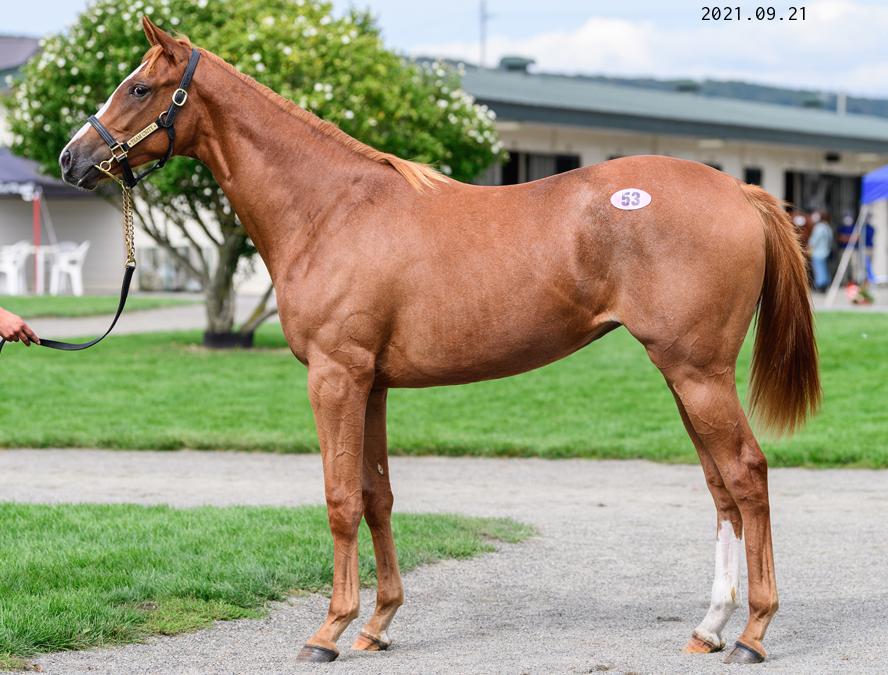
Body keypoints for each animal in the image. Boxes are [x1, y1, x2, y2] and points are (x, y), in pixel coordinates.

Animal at [59, 16, 820, 665]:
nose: (72, 157)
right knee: (720, 486)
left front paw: (328, 630)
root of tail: (741, 191)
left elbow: (339, 498)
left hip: (698, 372)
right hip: (683, 374)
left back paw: (753, 631)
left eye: (139, 87)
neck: (332, 209)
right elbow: (376, 495)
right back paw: (709, 627)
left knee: (746, 474)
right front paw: (377, 623)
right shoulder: (371, 384)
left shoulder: (335, 377)